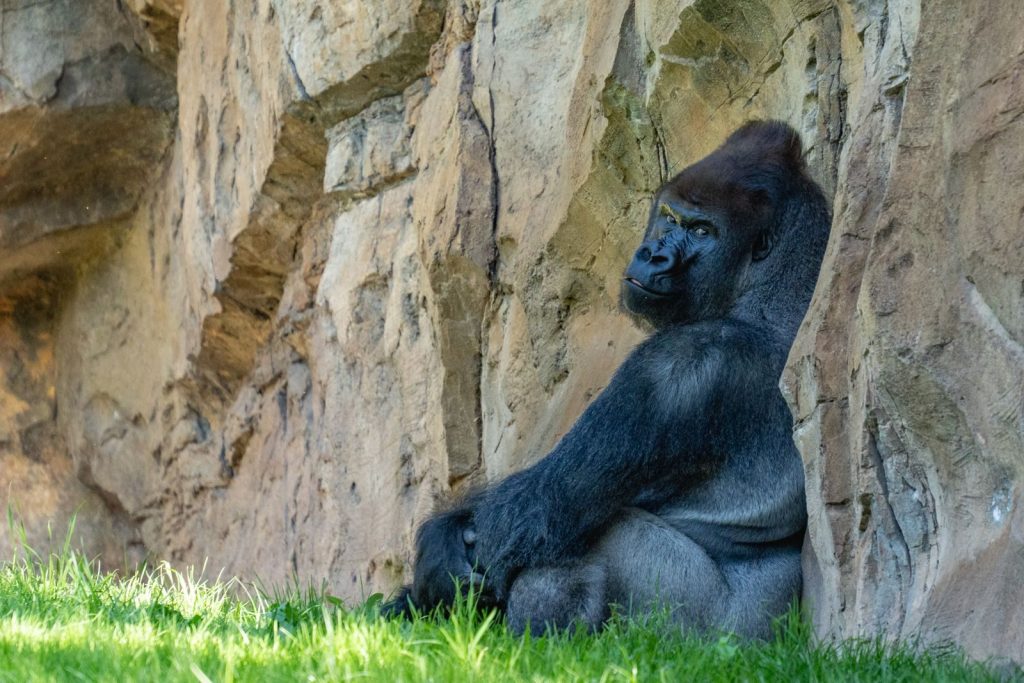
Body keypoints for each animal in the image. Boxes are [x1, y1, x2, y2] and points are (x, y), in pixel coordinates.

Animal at [385, 121, 831, 639]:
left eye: (702, 231)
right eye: (670, 218)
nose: (654, 256)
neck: (772, 292)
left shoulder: (680, 363)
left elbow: (525, 515)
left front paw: (439, 559)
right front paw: (435, 561)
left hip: (702, 631)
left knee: (576, 535)